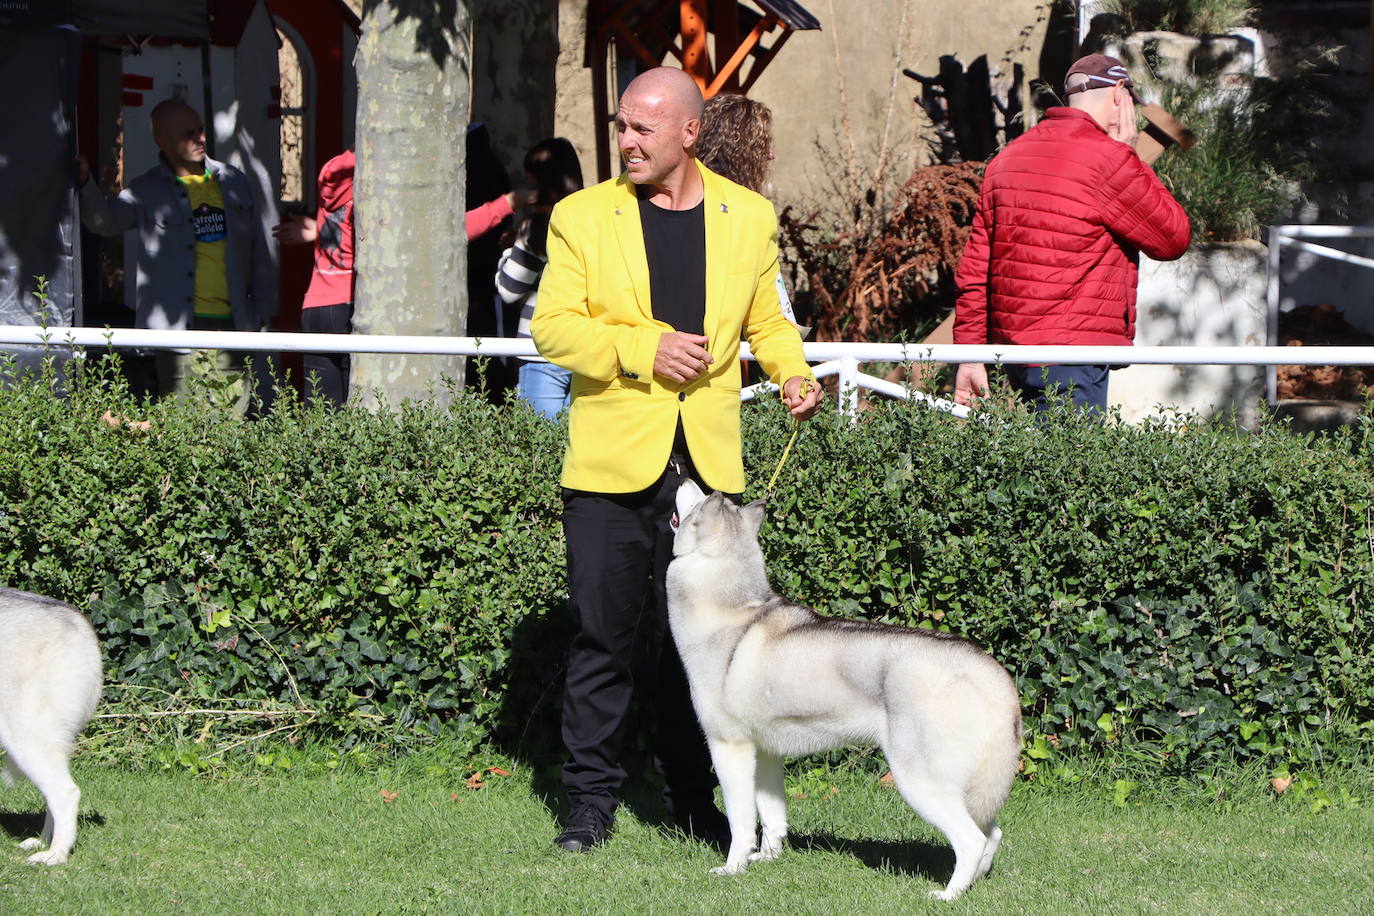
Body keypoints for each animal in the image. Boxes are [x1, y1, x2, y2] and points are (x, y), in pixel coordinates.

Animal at [665, 483, 1022, 900]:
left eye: (698, 501)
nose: (684, 477)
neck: (729, 607)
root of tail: (988, 669)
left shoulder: (729, 748)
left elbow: (741, 822)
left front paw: (733, 867)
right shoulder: (766, 751)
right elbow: (772, 816)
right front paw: (768, 859)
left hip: (919, 781)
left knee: (971, 839)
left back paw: (948, 894)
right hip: (969, 787)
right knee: (992, 832)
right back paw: (975, 883)